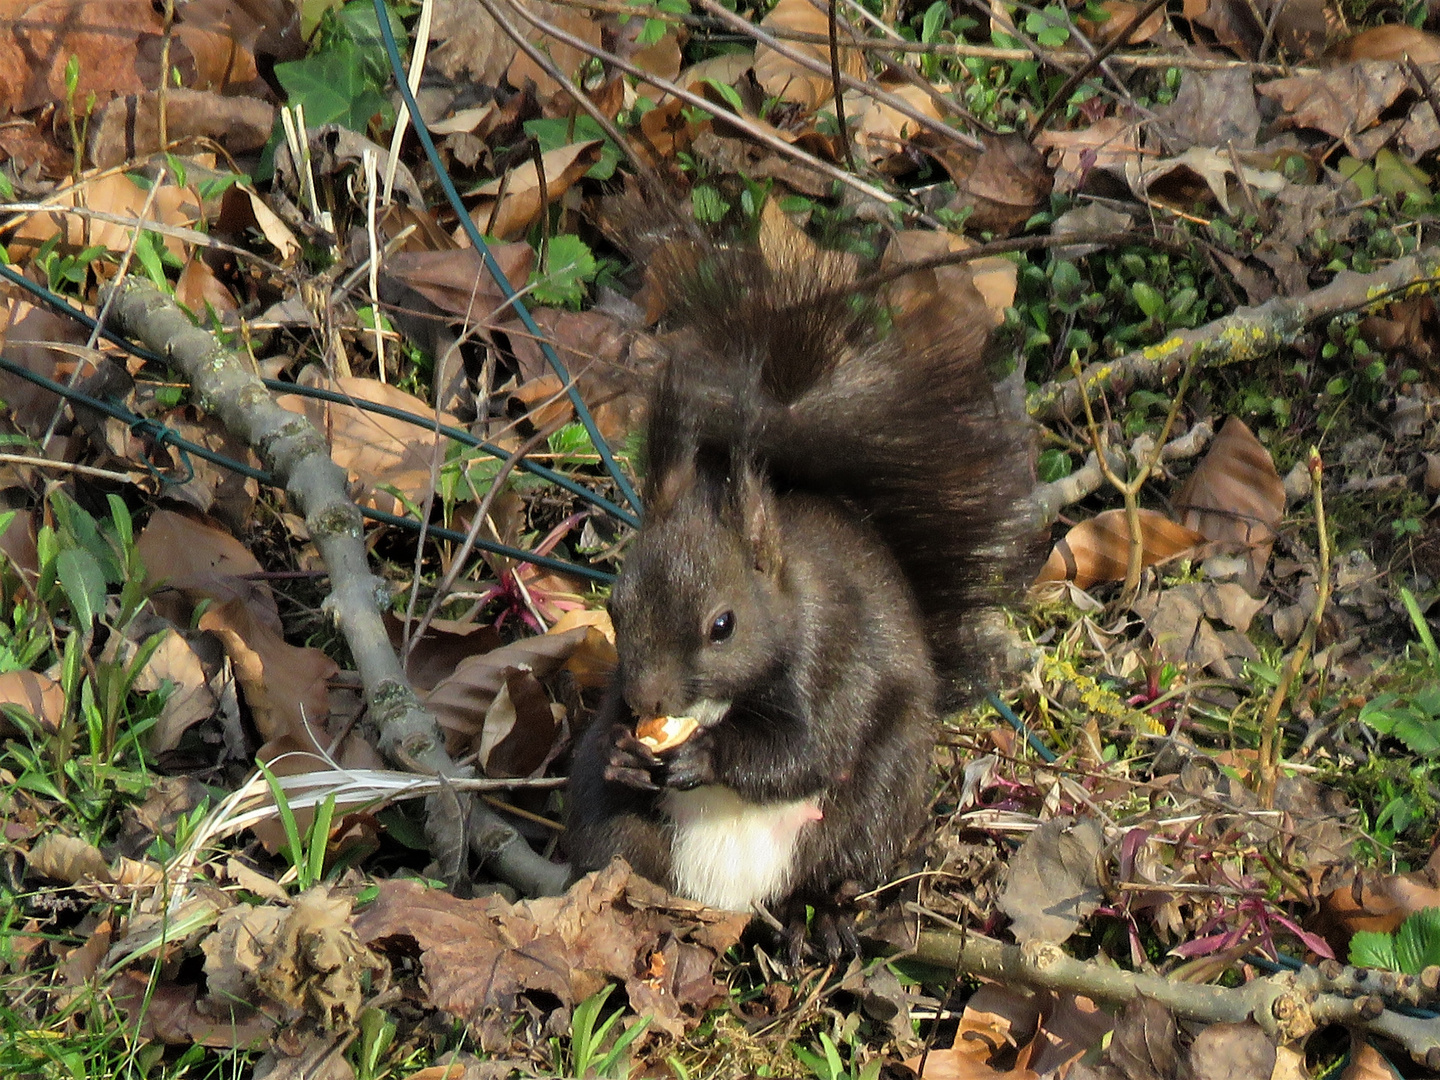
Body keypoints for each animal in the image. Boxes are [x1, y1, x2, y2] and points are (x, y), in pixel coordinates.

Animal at [564, 216, 1036, 961]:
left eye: (722, 625)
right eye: (615, 606)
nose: (647, 702)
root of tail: (732, 898)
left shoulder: (836, 663)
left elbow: (808, 752)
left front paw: (708, 755)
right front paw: (621, 747)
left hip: (874, 804)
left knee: (836, 867)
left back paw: (830, 922)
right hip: (612, 829)